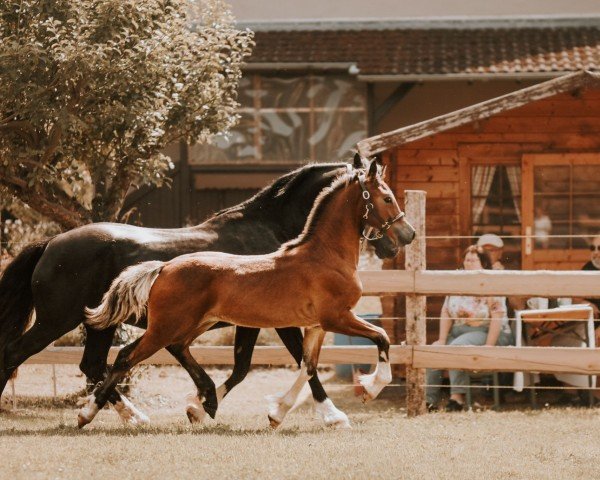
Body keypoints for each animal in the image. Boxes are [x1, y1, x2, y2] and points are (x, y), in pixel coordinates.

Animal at [79, 160, 414, 428]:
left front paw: (277, 414)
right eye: (387, 197)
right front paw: (369, 389)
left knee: (174, 349)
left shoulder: (317, 326)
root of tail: (163, 267)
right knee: (124, 357)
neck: (324, 256)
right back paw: (89, 414)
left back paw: (203, 402)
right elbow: (382, 337)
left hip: (193, 325)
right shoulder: (337, 318)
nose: (408, 234)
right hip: (164, 327)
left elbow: (307, 367)